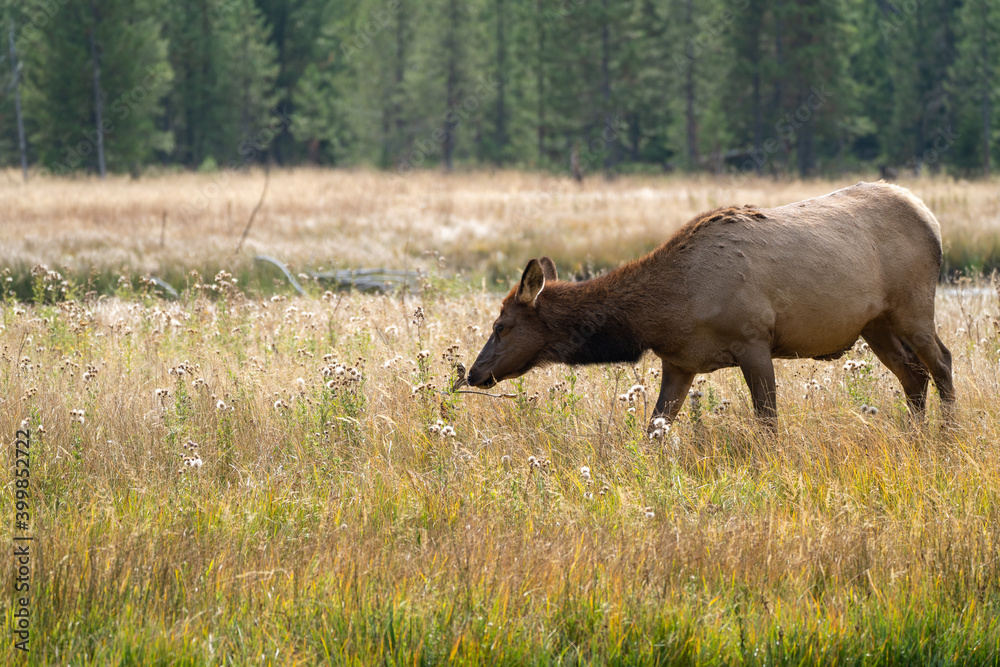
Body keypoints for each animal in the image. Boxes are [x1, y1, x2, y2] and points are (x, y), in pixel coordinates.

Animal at [464, 181, 955, 427]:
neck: (662, 313)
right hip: (875, 324)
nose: (473, 372)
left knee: (942, 362)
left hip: (913, 306)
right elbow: (655, 429)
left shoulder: (754, 340)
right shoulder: (680, 361)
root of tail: (932, 219)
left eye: (501, 326)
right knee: (914, 375)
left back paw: (947, 437)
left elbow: (767, 423)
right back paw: (914, 437)